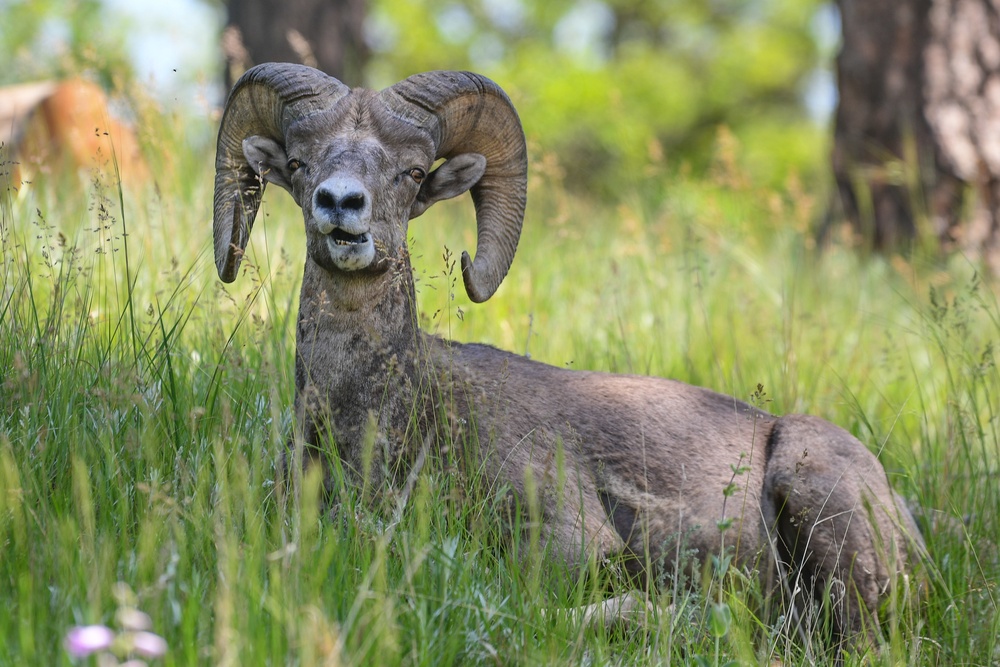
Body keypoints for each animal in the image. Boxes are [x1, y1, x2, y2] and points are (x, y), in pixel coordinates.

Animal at [215, 66, 924, 652]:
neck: (373, 426)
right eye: (300, 163)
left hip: (816, 502)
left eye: (412, 172)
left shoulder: (569, 542)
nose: (341, 207)